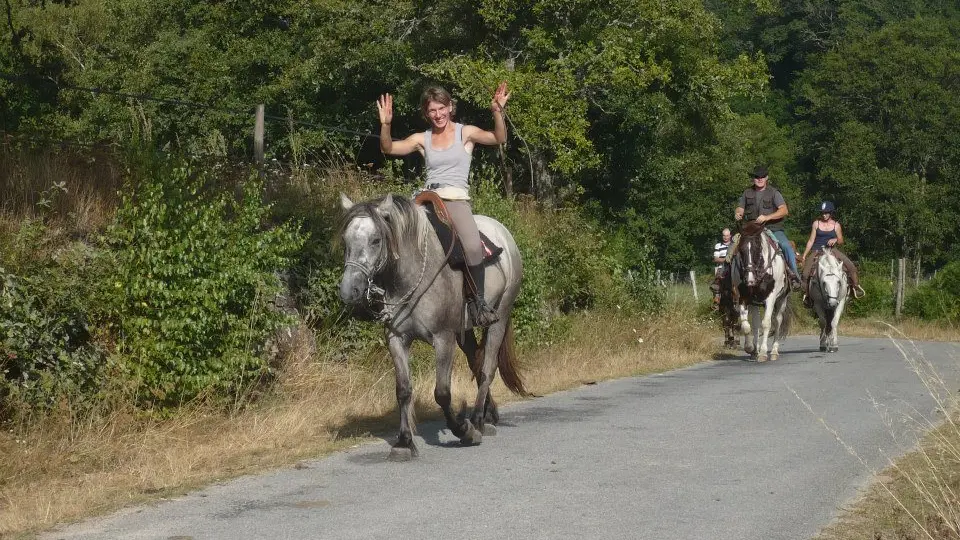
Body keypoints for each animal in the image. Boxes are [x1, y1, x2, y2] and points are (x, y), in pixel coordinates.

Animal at [338, 194, 528, 460]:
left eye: (376, 240)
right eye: (345, 240)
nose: (349, 291)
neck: (413, 273)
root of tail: (504, 234)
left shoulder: (443, 339)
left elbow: (442, 393)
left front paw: (464, 430)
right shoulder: (396, 338)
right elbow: (403, 390)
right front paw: (404, 442)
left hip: (498, 318)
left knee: (487, 368)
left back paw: (478, 421)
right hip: (465, 331)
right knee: (477, 361)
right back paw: (489, 414)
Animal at [732, 221, 792, 364]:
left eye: (757, 249)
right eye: (741, 250)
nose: (749, 279)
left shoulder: (770, 298)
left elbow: (766, 324)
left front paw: (764, 353)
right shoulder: (743, 298)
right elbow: (746, 325)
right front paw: (750, 348)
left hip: (781, 300)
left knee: (777, 321)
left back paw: (774, 352)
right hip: (754, 303)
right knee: (755, 324)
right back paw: (755, 350)